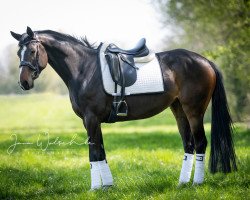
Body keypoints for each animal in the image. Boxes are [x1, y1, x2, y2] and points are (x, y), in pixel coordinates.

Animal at [9, 27, 236, 190]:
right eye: (18, 52)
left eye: (32, 51)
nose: (24, 83)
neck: (84, 69)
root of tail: (205, 61)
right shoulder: (91, 121)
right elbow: (100, 151)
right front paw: (107, 186)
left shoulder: (91, 119)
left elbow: (93, 153)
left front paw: (94, 188)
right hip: (178, 109)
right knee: (188, 144)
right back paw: (182, 184)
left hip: (194, 110)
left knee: (200, 143)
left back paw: (197, 183)